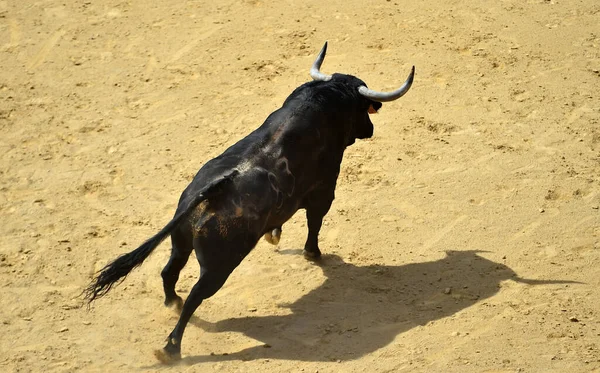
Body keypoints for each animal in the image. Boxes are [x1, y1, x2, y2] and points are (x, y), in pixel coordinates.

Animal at [84, 42, 414, 360]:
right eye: (364, 110)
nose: (370, 129)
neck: (324, 100)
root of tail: (211, 192)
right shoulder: (324, 189)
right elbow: (315, 222)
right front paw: (313, 254)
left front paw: (275, 235)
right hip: (220, 265)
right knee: (196, 296)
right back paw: (171, 347)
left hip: (181, 241)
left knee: (170, 272)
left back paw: (171, 304)